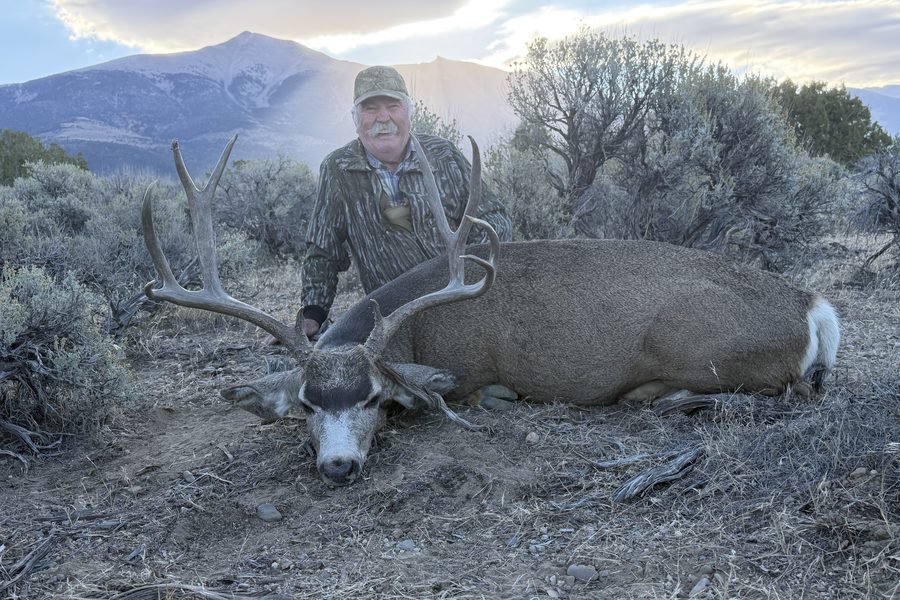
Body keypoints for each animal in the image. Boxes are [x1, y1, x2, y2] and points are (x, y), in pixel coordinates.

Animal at [141, 134, 840, 487]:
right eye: (309, 405)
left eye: (373, 397)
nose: (338, 465)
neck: (417, 331)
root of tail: (815, 306)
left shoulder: (468, 373)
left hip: (699, 345)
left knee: (783, 393)